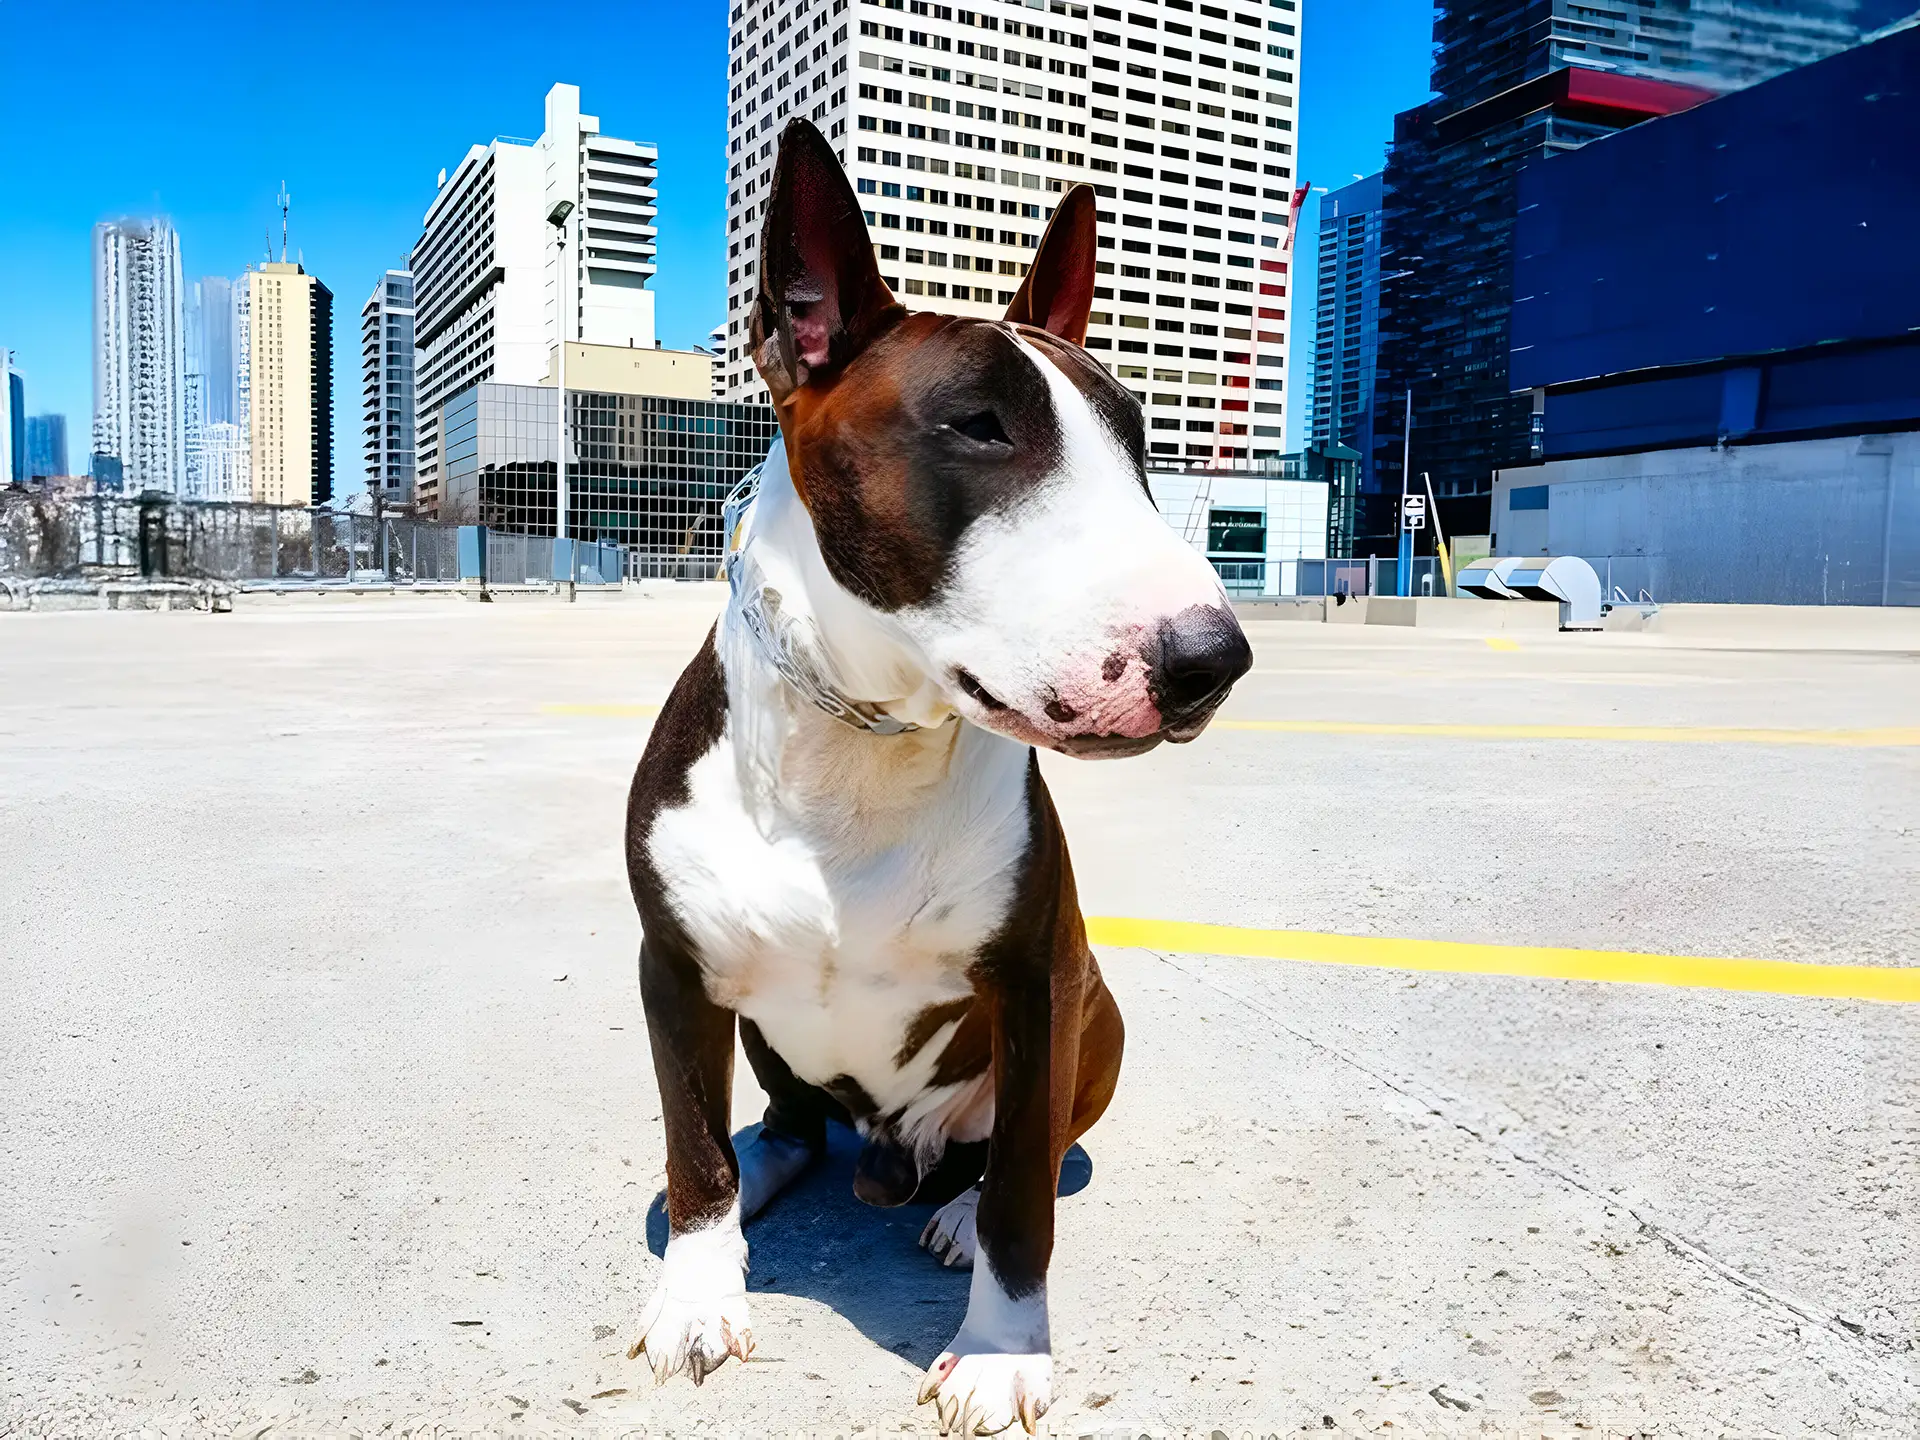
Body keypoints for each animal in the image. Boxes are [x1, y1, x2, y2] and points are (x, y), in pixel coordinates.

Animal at [622, 121, 1251, 1436]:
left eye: (1138, 446)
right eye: (979, 427)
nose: (1213, 660)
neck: (859, 745)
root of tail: (890, 1152)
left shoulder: (1036, 981)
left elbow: (1022, 1189)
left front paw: (1003, 1353)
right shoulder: (672, 968)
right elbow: (690, 1145)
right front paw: (699, 1295)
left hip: (1096, 1020)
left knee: (1021, 1144)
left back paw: (951, 1206)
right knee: (781, 1122)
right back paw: (769, 1168)